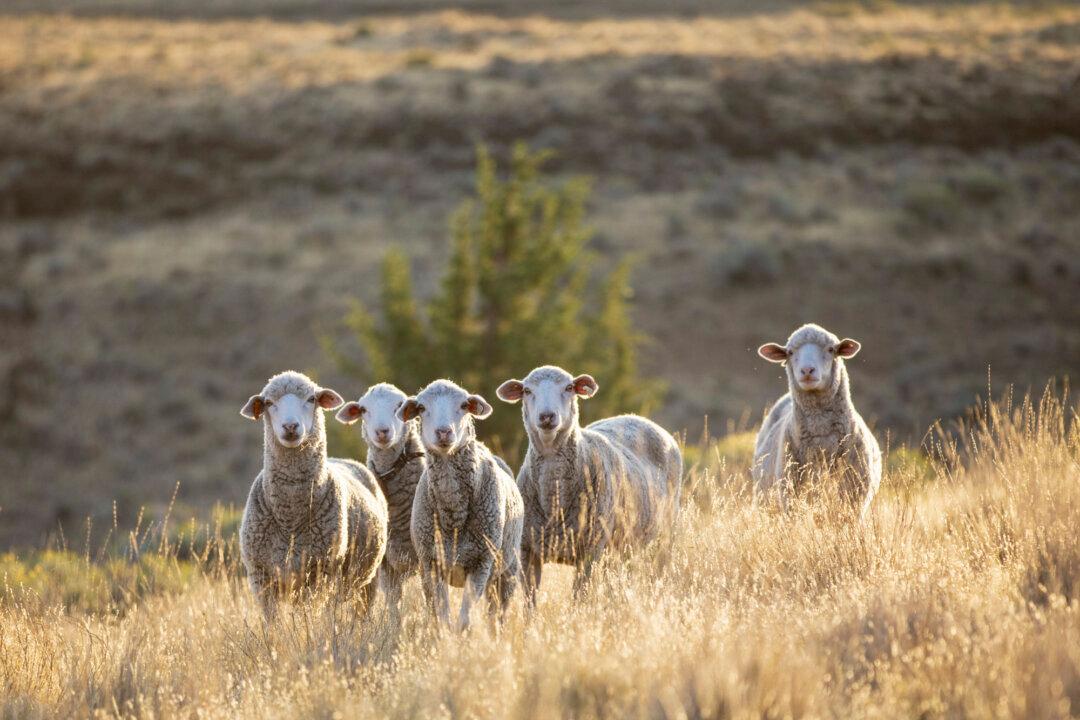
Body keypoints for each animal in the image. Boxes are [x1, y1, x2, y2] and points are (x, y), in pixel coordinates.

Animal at [239, 371, 388, 617]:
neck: (290, 516)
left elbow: (307, 617)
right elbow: (274, 622)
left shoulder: (319, 572)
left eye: (311, 399)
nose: (290, 426)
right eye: (268, 403)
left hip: (368, 579)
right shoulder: (262, 577)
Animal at [397, 379, 523, 630]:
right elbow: (442, 617)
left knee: (497, 614)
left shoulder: (482, 562)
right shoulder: (431, 563)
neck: (453, 514)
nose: (444, 432)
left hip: (507, 570)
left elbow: (464, 620)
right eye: (422, 408)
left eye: (464, 405)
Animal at [496, 365, 683, 602]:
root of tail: (636, 417)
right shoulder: (527, 551)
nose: (547, 416)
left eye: (569, 387)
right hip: (621, 546)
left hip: (665, 535)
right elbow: (530, 600)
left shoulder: (590, 550)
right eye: (527, 391)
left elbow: (579, 596)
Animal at [752, 323, 882, 517]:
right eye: (790, 352)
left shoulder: (853, 499)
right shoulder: (792, 496)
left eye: (831, 349)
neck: (822, 436)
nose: (807, 371)